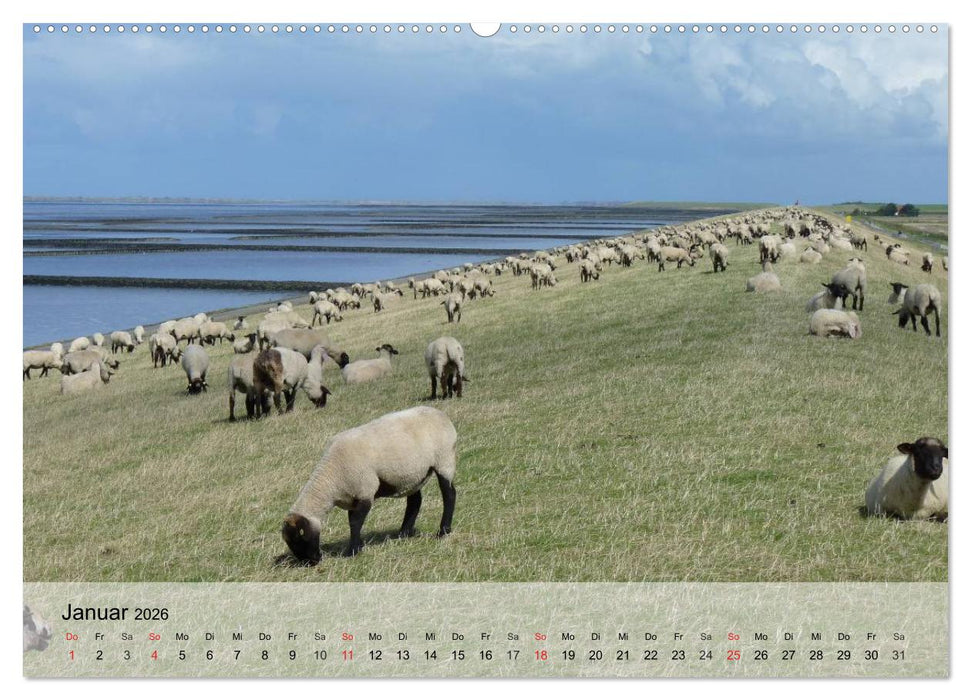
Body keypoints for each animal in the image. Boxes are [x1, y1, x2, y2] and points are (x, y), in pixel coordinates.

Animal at [281, 406, 457, 561]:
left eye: (299, 539)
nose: (311, 562)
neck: (331, 478)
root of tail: (442, 415)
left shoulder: (365, 490)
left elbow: (355, 523)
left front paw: (352, 551)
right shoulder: (352, 497)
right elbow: (352, 522)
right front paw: (358, 546)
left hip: (444, 460)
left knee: (449, 494)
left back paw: (443, 531)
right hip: (413, 475)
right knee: (415, 501)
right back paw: (404, 533)